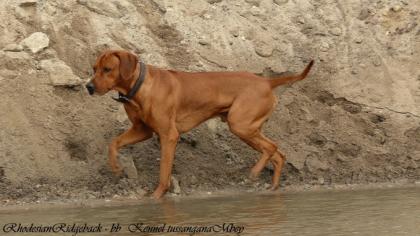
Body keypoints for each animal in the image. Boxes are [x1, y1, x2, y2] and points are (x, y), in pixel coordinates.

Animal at [86, 50, 316, 199]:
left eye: (107, 69)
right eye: (94, 68)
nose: (88, 87)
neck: (140, 87)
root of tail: (267, 81)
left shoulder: (169, 135)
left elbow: (164, 171)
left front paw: (157, 195)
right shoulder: (141, 130)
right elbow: (114, 143)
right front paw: (116, 167)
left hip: (240, 124)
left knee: (272, 147)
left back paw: (255, 172)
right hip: (248, 128)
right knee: (278, 154)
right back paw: (273, 187)